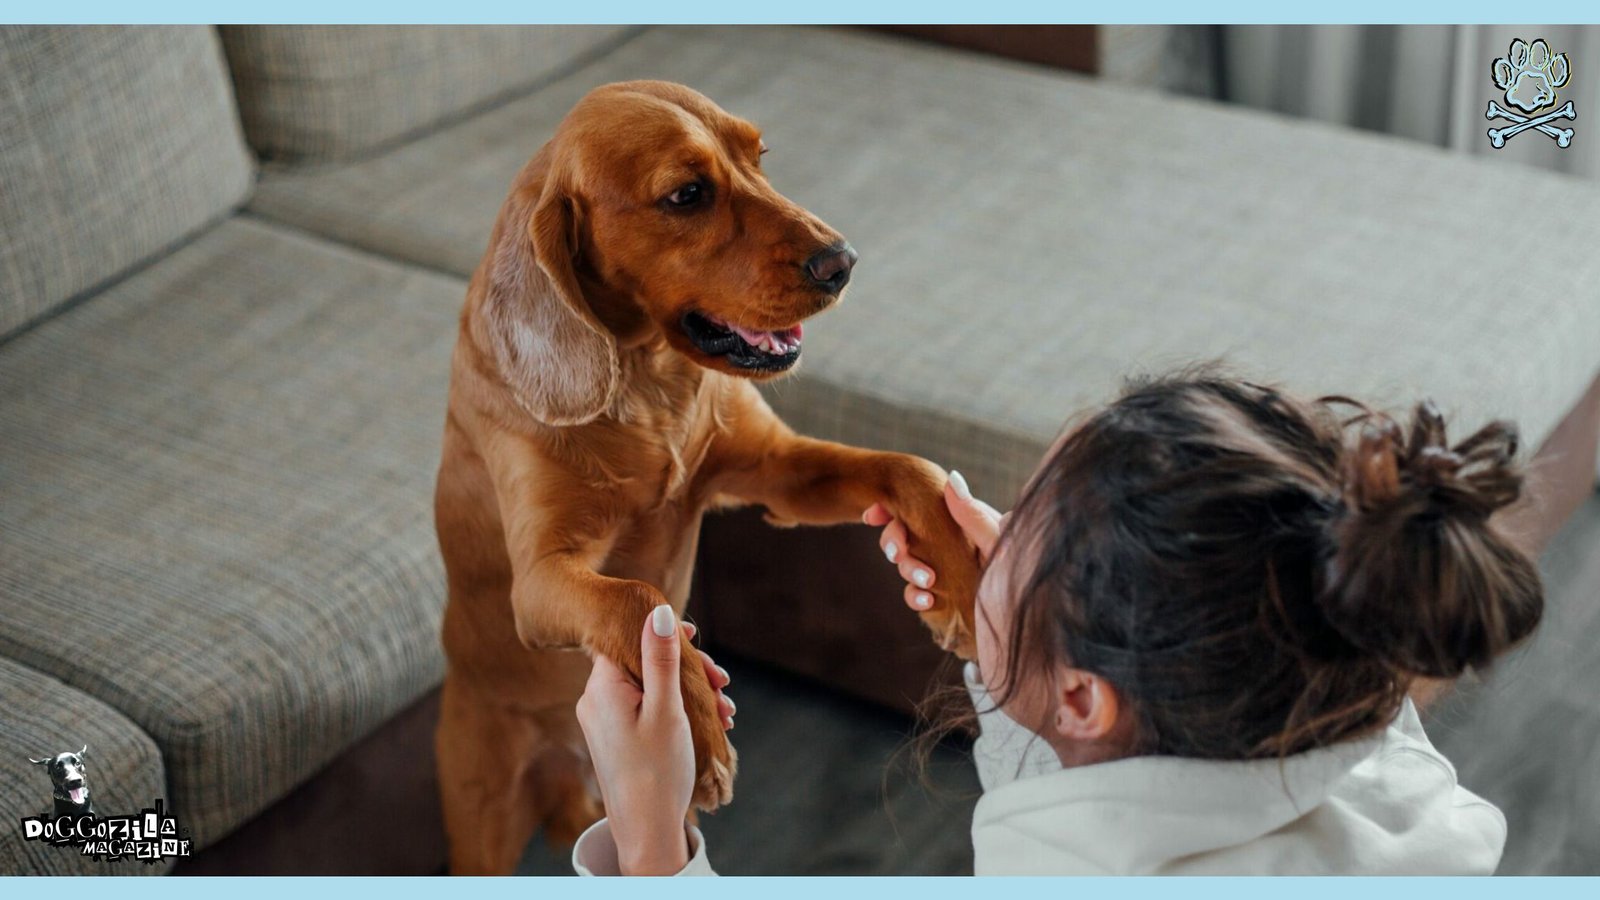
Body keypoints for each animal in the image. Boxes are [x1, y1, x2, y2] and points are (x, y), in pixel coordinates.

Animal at [435, 82, 972, 871]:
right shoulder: (537, 580)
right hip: (484, 814)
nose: (842, 262)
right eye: (687, 195)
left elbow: (909, 467)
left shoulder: (776, 473)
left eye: (760, 156)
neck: (647, 382)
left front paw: (963, 581)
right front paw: (693, 726)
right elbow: (636, 599)